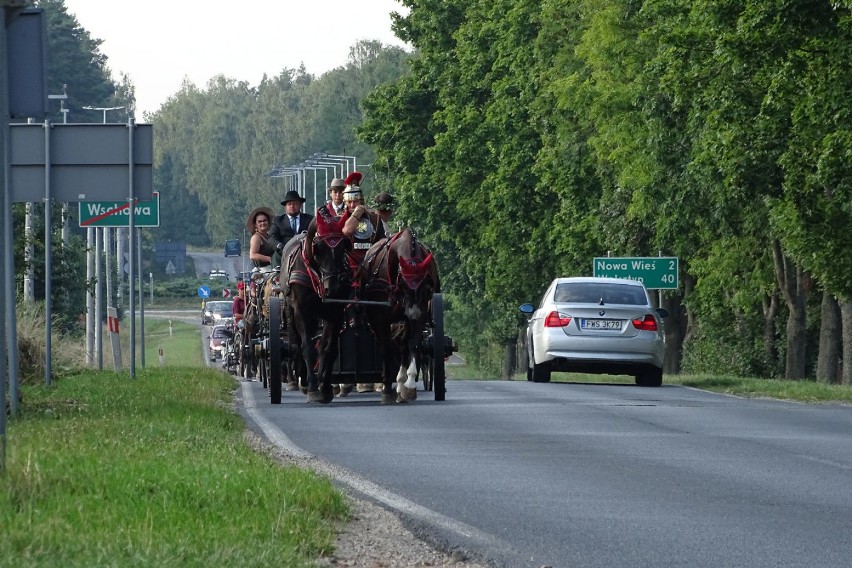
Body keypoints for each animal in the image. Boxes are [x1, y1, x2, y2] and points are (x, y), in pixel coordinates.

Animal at [280, 213, 352, 404]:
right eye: (318, 248)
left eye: (343, 246)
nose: (332, 287)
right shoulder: (301, 311)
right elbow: (307, 348)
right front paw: (312, 389)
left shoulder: (335, 313)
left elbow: (329, 349)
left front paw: (325, 388)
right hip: (291, 311)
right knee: (297, 345)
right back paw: (304, 380)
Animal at [358, 226, 440, 404]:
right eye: (403, 284)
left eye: (426, 288)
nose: (413, 314)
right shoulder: (380, 319)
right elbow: (386, 349)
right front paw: (386, 389)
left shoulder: (419, 313)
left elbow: (413, 345)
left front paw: (408, 385)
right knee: (385, 345)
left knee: (403, 346)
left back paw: (401, 384)